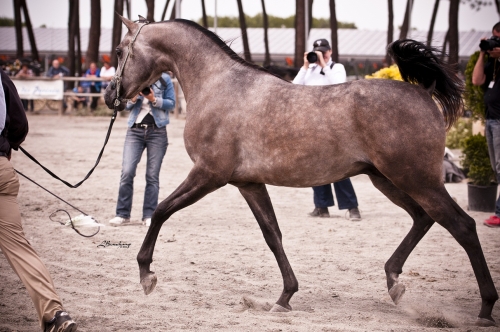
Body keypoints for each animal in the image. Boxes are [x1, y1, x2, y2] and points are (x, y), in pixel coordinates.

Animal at [104, 16, 496, 326]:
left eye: (121, 51)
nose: (110, 95)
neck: (220, 86)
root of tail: (423, 94)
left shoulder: (208, 175)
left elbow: (161, 210)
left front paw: (146, 275)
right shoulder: (248, 183)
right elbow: (272, 235)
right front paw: (285, 297)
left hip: (416, 179)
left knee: (462, 225)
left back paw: (485, 309)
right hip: (388, 179)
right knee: (423, 218)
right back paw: (395, 283)